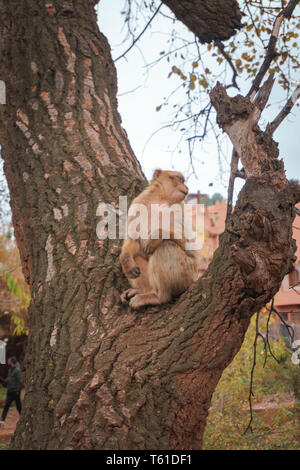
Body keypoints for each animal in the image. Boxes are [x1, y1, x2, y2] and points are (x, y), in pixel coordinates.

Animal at [119, 167, 202, 310]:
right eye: (179, 179)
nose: (187, 187)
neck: (160, 199)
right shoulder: (138, 203)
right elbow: (133, 239)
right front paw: (126, 260)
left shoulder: (178, 209)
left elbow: (185, 241)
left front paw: (155, 236)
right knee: (137, 255)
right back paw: (144, 291)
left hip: (187, 274)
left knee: (165, 246)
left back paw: (158, 297)